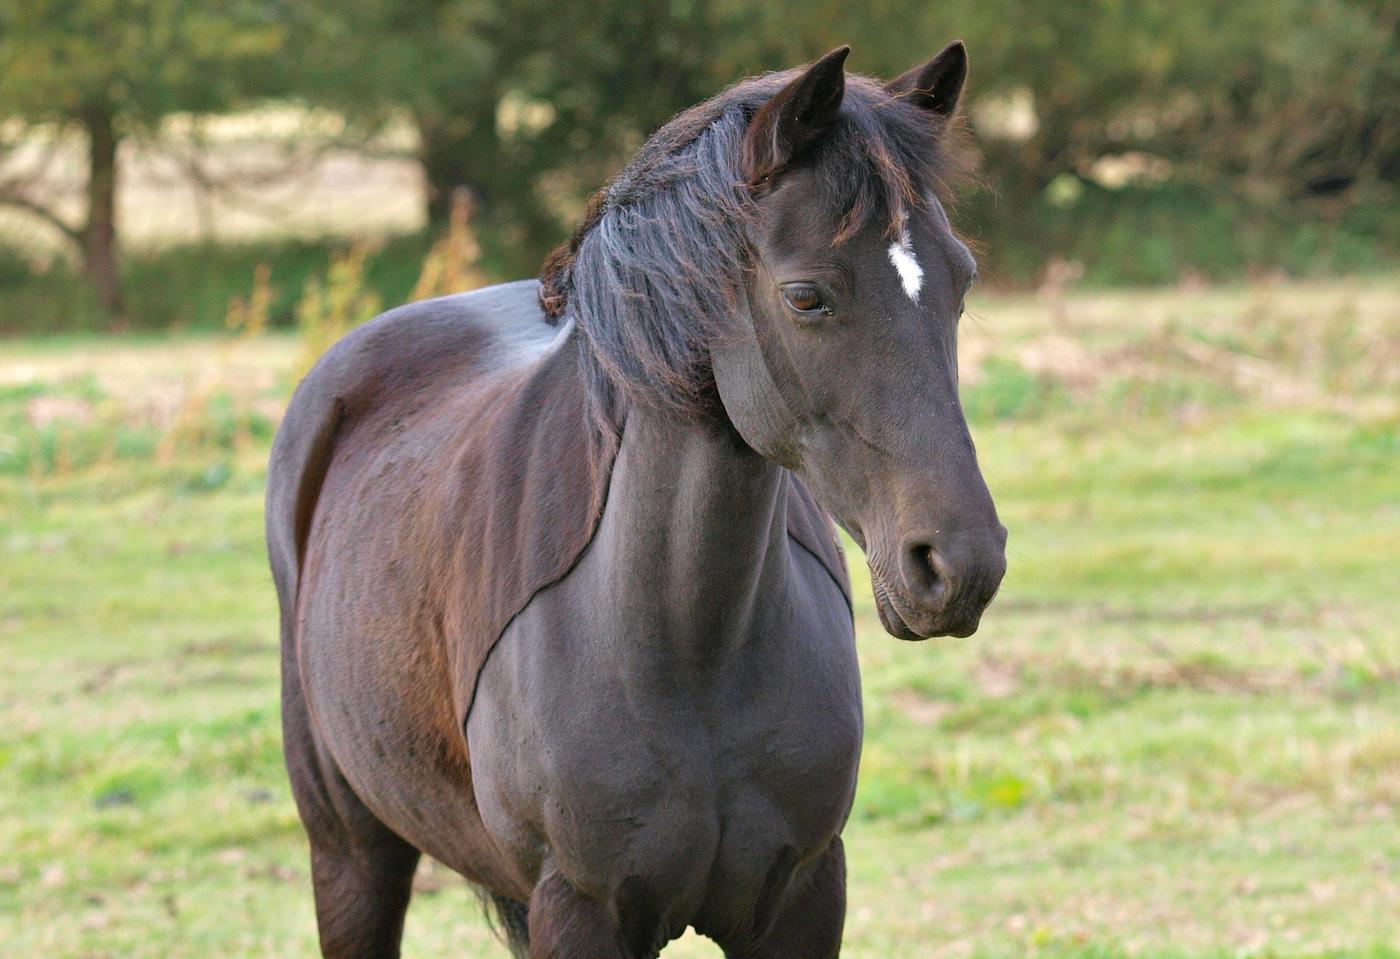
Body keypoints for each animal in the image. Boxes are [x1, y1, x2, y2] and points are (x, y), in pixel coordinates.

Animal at [267, 41, 1006, 959]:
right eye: (806, 295)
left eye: (962, 280)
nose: (959, 564)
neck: (685, 649)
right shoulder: (578, 907)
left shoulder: (804, 895)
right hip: (351, 852)